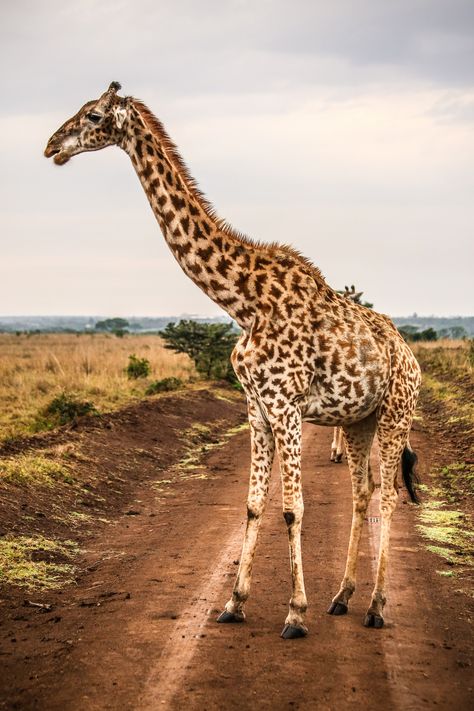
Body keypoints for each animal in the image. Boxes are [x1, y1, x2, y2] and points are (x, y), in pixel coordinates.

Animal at [45, 83, 422, 640]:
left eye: (92, 115)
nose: (52, 146)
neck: (243, 303)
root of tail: (410, 355)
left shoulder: (286, 406)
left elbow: (293, 508)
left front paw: (295, 613)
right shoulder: (257, 408)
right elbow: (252, 504)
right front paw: (234, 602)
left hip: (397, 413)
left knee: (390, 496)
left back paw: (375, 606)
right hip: (360, 419)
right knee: (362, 492)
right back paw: (342, 597)